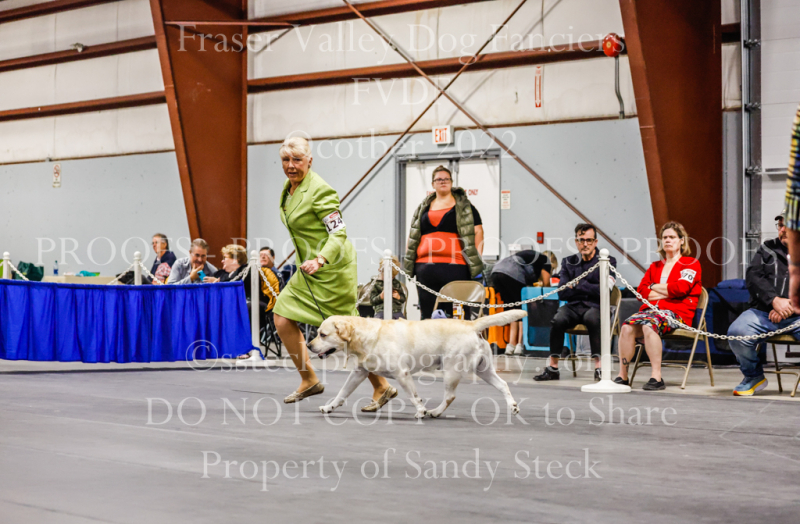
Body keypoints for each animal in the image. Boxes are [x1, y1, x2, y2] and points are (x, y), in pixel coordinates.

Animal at [307, 310, 527, 419]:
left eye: (322, 334)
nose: (308, 345)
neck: (366, 335)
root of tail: (471, 323)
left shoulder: (402, 374)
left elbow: (413, 396)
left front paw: (421, 411)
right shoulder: (359, 373)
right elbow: (342, 393)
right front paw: (329, 407)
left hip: (452, 370)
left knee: (450, 396)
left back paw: (435, 412)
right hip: (483, 370)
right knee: (503, 384)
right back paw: (513, 407)